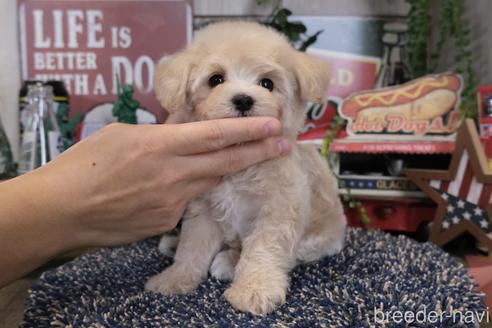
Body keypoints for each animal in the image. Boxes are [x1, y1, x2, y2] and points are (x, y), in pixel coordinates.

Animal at [145, 21, 346, 316]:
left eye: (267, 83)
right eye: (215, 79)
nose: (243, 100)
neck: (241, 166)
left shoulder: (278, 209)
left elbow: (263, 249)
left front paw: (254, 290)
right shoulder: (204, 208)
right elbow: (193, 246)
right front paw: (175, 278)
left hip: (319, 238)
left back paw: (229, 262)